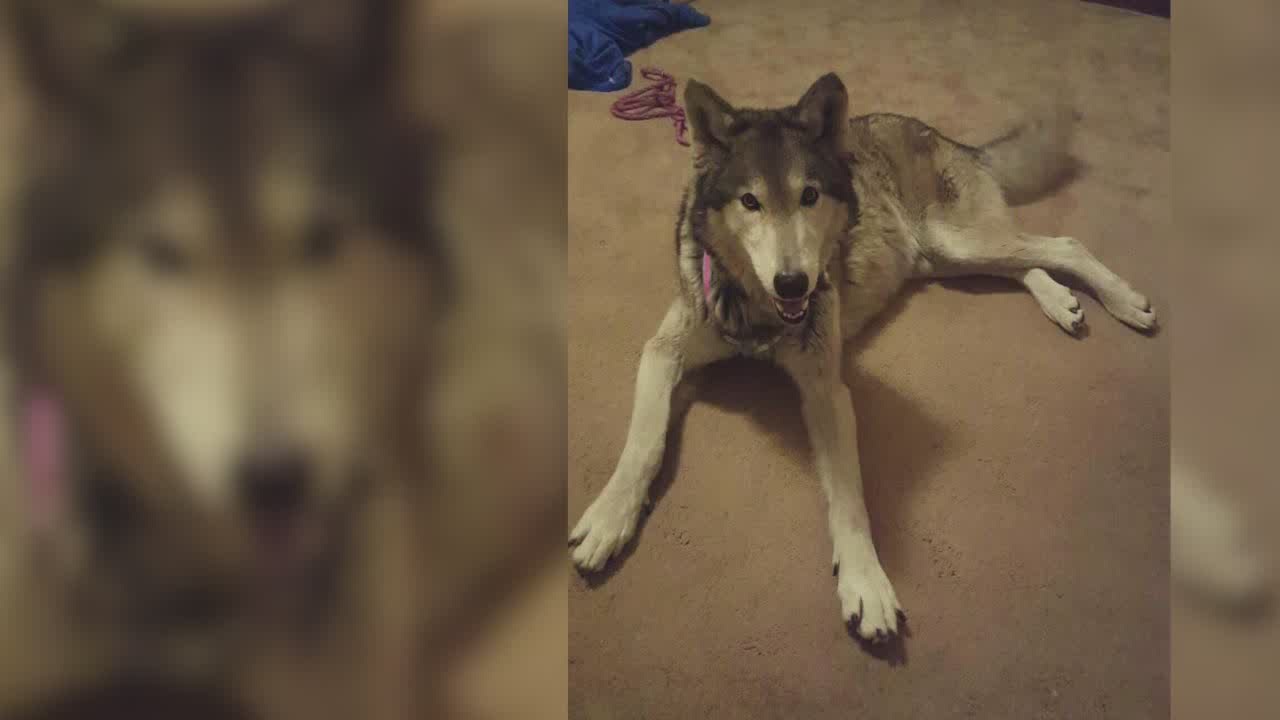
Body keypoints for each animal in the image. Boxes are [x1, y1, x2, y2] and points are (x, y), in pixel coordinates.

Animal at [569, 73, 1157, 643]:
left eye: (809, 195)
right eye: (749, 202)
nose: (794, 282)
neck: (758, 311)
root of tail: (941, 135)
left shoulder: (826, 390)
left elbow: (849, 498)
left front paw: (865, 583)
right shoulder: (662, 353)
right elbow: (643, 445)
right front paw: (609, 518)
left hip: (955, 242)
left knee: (1064, 244)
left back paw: (1124, 301)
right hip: (946, 258)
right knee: (1024, 263)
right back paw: (1061, 302)